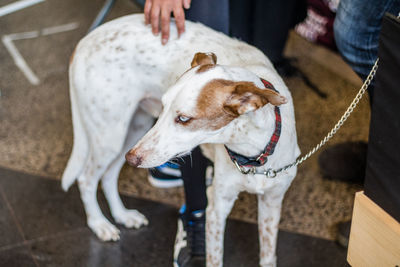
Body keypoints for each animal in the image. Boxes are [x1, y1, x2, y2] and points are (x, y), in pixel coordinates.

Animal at [62, 14, 300, 267]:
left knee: (108, 175)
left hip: (133, 132)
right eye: (163, 106)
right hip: (111, 136)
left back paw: (122, 215)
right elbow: (214, 257)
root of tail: (84, 41)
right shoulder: (217, 206)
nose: (133, 159)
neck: (253, 155)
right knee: (86, 179)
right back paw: (99, 224)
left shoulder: (272, 203)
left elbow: (268, 254)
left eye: (184, 118)